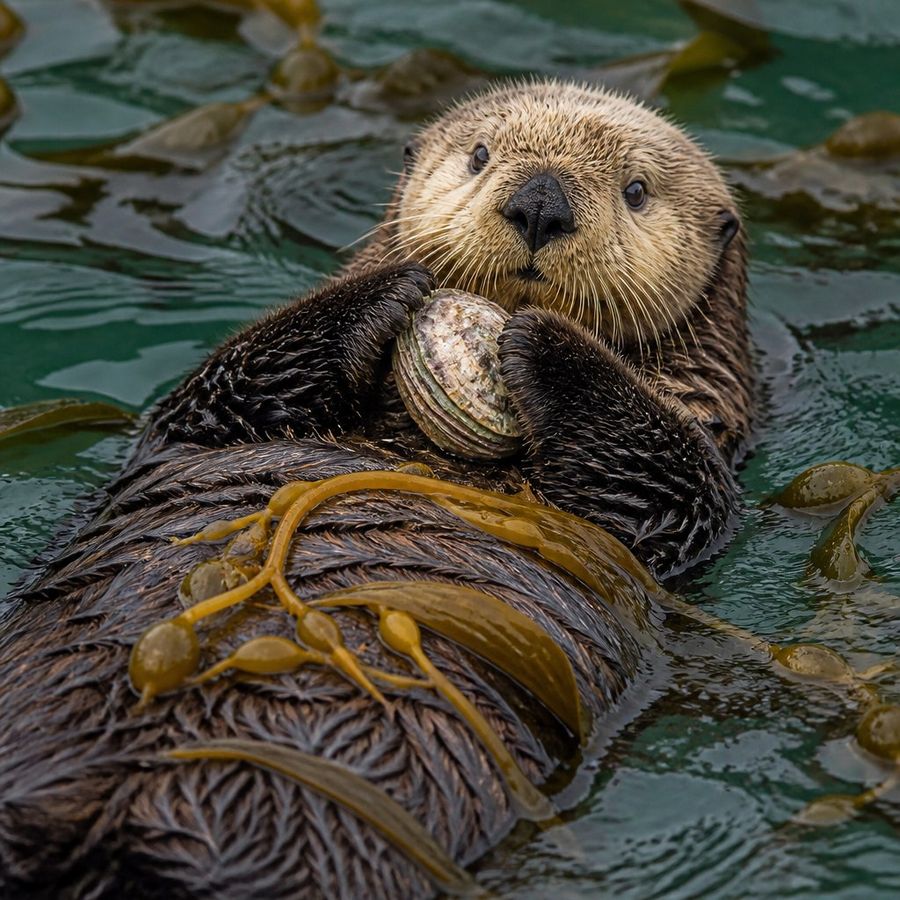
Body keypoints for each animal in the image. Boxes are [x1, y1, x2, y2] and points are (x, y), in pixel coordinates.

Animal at [0, 81, 753, 897]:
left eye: (636, 190)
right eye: (479, 154)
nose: (541, 202)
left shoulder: (688, 486)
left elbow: (674, 477)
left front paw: (544, 343)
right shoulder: (201, 418)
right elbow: (224, 380)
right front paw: (389, 291)